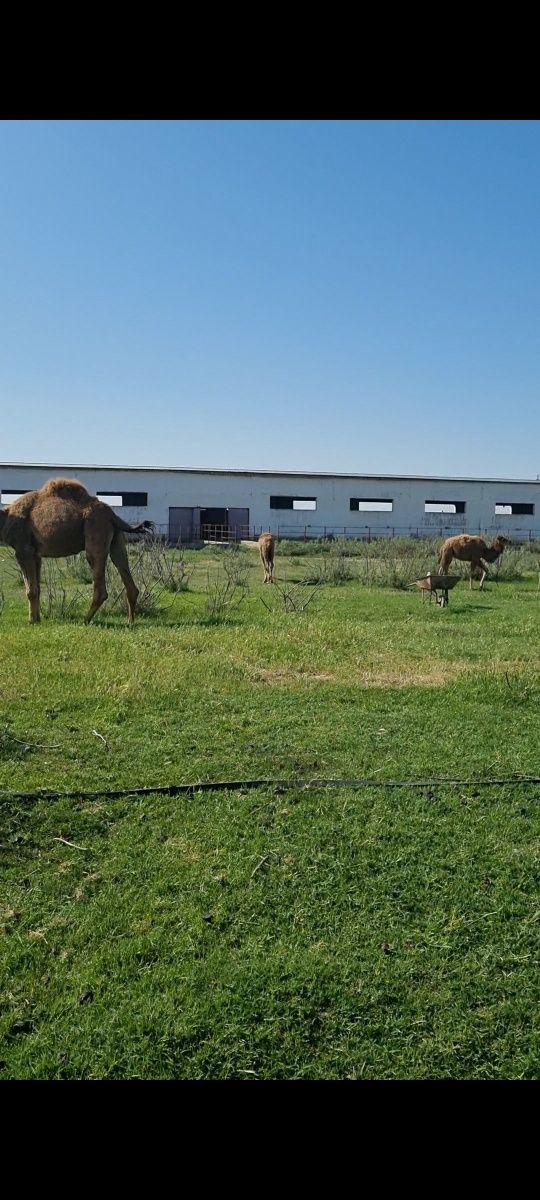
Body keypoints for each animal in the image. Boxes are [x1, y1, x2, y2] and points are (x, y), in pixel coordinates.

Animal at [0, 477, 153, 628]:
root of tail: (113, 516)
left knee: (100, 587)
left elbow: (31, 591)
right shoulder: (36, 555)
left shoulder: (23, 550)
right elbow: (37, 587)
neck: (7, 517)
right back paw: (130, 621)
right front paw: (37, 619)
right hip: (117, 540)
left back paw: (85, 620)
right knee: (125, 574)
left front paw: (32, 621)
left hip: (96, 533)